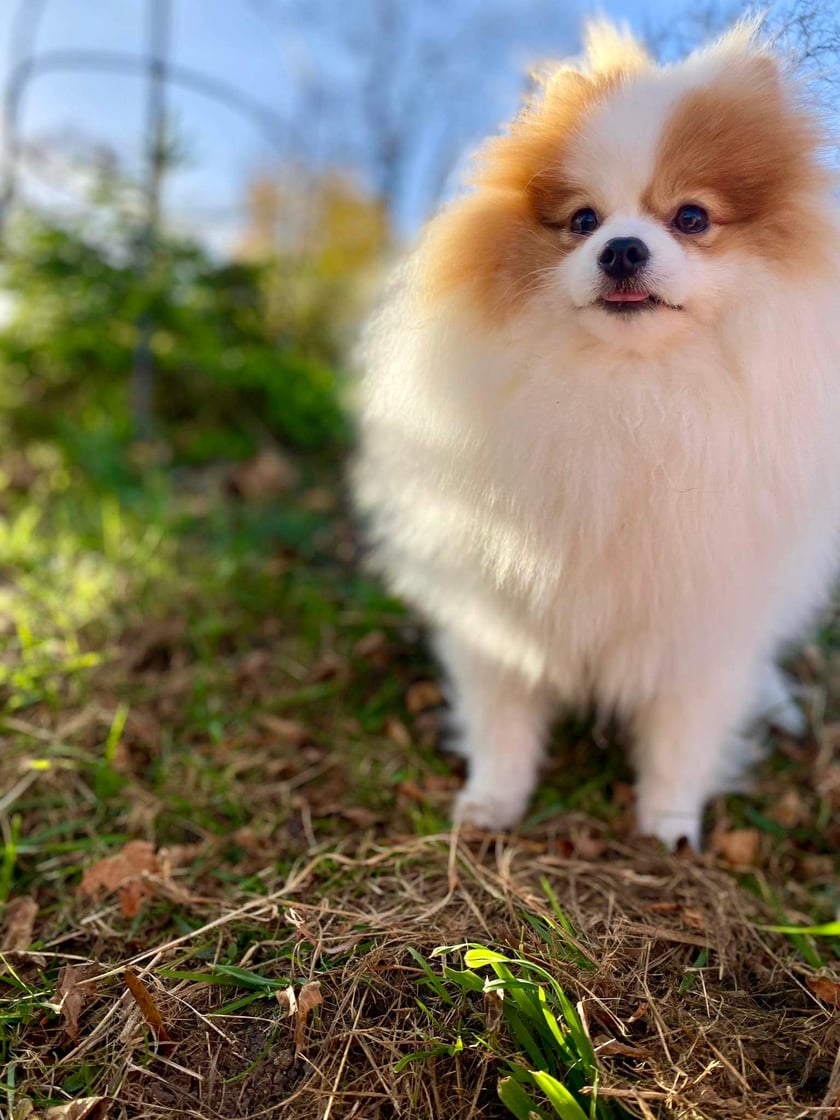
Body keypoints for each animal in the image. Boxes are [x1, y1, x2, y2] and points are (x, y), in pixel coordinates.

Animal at [351, 21, 840, 846]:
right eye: (583, 220)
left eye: (691, 217)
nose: (622, 249)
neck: (628, 396)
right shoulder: (498, 602)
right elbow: (503, 715)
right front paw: (491, 802)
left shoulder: (705, 618)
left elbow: (683, 733)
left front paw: (670, 823)